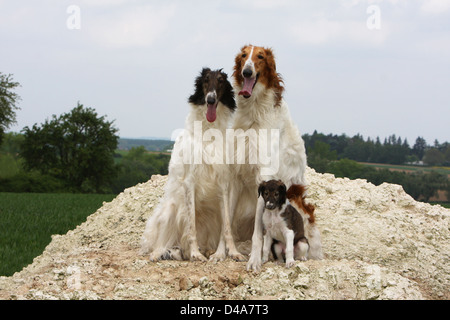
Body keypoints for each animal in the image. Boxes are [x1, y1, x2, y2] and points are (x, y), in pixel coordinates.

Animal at [142, 69, 244, 262]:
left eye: (221, 81)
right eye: (205, 80)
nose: (210, 99)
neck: (208, 131)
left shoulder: (223, 183)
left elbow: (227, 226)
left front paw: (234, 252)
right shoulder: (189, 182)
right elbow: (191, 227)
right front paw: (196, 254)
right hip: (170, 211)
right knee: (162, 242)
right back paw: (161, 253)